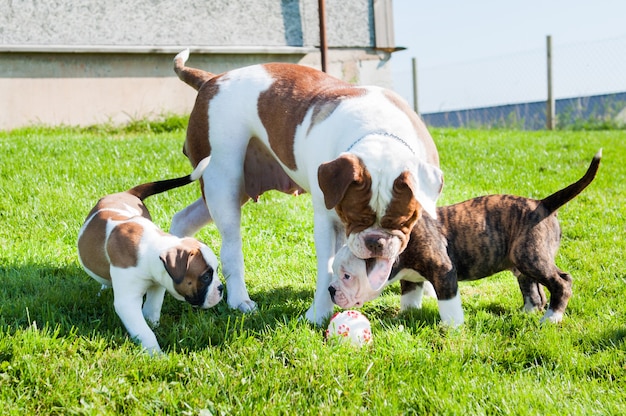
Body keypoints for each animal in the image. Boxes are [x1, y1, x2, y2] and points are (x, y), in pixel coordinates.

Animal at [76, 156, 222, 354]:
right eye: (206, 276)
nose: (221, 288)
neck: (152, 246)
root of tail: (128, 192)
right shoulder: (127, 302)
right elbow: (144, 330)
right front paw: (156, 353)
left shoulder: (159, 283)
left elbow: (152, 308)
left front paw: (153, 324)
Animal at [168, 48, 442, 322]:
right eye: (355, 218)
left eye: (402, 221)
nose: (376, 242)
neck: (378, 132)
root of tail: (212, 79)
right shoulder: (327, 221)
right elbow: (328, 266)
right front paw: (318, 314)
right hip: (223, 182)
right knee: (231, 248)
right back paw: (239, 299)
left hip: (232, 188)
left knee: (184, 218)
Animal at [332, 151, 600, 326]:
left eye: (347, 276)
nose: (330, 290)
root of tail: (542, 204)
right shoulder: (410, 279)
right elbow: (409, 298)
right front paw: (405, 316)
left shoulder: (444, 271)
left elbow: (449, 303)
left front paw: (452, 327)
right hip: (522, 262)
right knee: (533, 292)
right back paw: (526, 313)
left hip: (531, 257)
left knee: (562, 282)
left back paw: (552, 317)